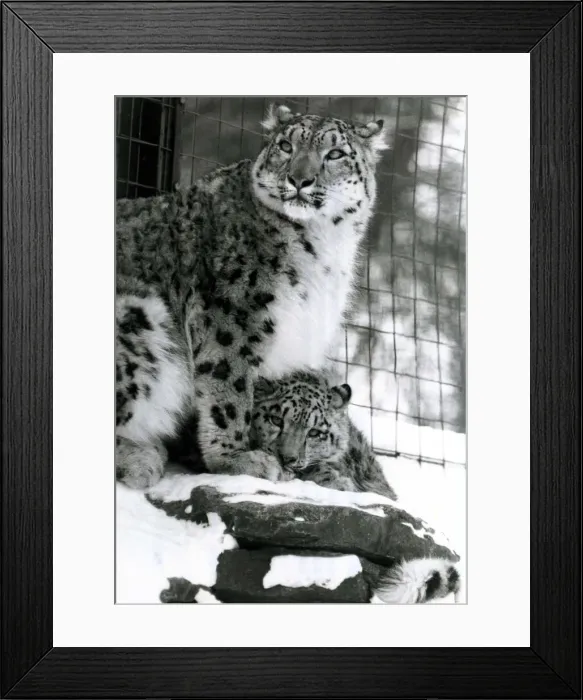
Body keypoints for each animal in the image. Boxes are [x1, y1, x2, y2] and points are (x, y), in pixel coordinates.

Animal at [116, 104, 386, 488]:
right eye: (286, 146)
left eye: (335, 154)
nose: (299, 179)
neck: (324, 246)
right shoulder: (233, 314)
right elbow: (229, 390)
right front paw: (237, 459)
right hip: (138, 316)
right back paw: (140, 459)